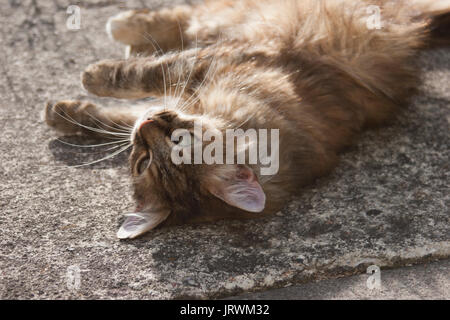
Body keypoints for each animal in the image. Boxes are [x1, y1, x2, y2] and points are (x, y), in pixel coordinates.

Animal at [44, 0, 450, 239]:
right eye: (143, 161)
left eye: (178, 143)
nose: (148, 128)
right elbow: (118, 119)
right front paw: (66, 113)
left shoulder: (220, 61)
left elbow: (139, 76)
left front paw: (92, 77)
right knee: (187, 18)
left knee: (184, 18)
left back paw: (124, 27)